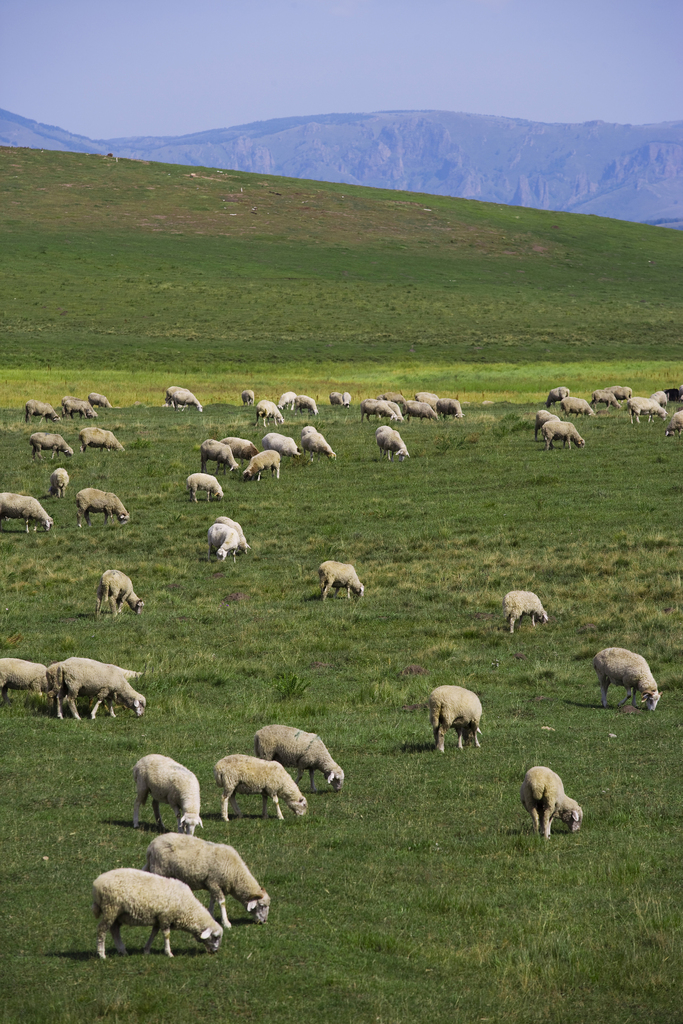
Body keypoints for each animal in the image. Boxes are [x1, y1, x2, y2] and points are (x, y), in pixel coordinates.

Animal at [90, 868, 223, 954]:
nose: (215, 951)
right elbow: (166, 935)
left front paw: (147, 950)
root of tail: (97, 884)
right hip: (111, 908)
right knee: (102, 929)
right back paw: (101, 954)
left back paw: (122, 951)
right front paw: (168, 953)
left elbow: (154, 933)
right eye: (215, 937)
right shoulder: (165, 917)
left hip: (117, 913)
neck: (187, 907)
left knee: (114, 929)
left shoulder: (158, 918)